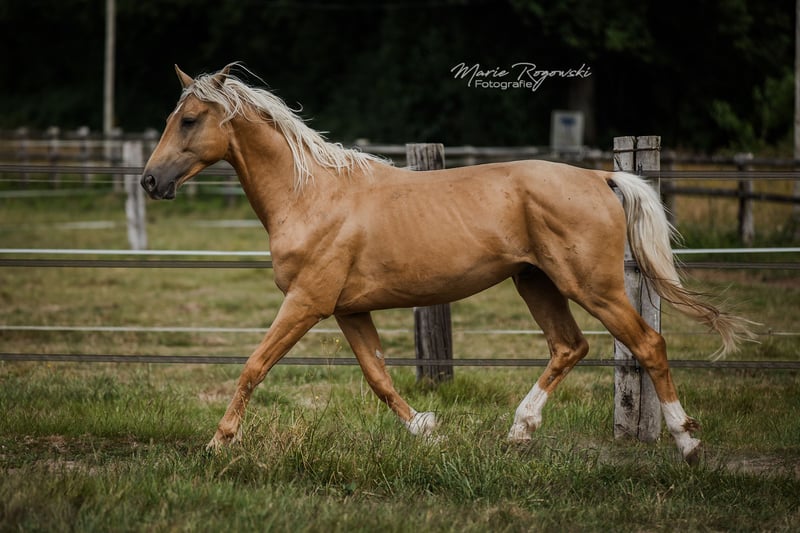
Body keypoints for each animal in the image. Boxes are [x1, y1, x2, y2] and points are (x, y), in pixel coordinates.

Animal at [141, 64, 754, 463]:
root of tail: (601, 176)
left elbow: (254, 366)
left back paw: (688, 442)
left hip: (592, 285)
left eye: (190, 120)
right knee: (569, 346)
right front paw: (427, 429)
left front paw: (218, 443)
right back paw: (519, 431)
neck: (311, 194)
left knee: (648, 345)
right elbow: (379, 378)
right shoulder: (347, 311)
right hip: (536, 282)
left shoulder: (307, 303)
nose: (150, 181)